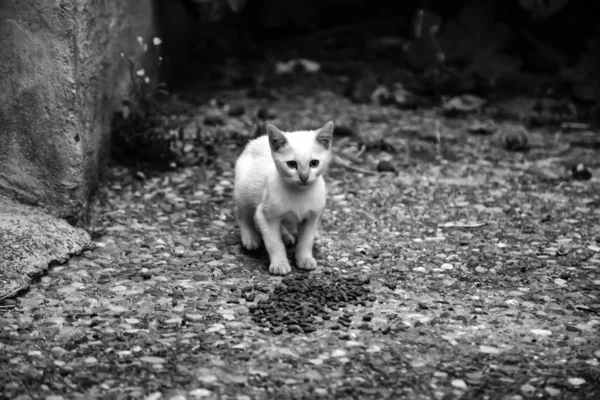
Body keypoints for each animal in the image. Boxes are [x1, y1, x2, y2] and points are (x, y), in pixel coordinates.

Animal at [233, 120, 336, 274]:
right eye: (292, 164)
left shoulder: (312, 217)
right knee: (243, 215)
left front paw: (305, 258)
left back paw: (287, 236)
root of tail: (257, 140)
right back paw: (250, 238)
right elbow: (274, 243)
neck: (299, 194)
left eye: (314, 163)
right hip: (243, 193)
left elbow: (306, 241)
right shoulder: (264, 215)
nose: (304, 177)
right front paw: (279, 263)